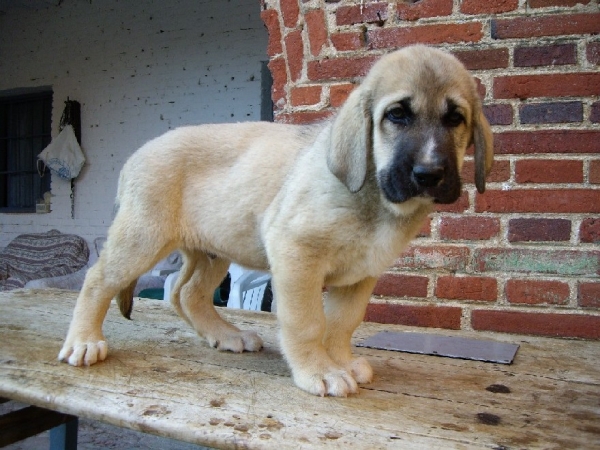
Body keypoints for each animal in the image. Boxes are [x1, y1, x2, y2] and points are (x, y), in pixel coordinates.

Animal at [58, 44, 494, 398]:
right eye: (397, 115)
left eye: (455, 119)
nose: (429, 173)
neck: (372, 196)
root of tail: (135, 156)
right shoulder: (296, 254)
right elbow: (307, 322)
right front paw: (319, 371)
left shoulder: (361, 275)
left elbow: (342, 324)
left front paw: (339, 360)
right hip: (143, 237)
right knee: (98, 279)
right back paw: (84, 341)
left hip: (212, 249)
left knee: (186, 294)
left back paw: (225, 336)